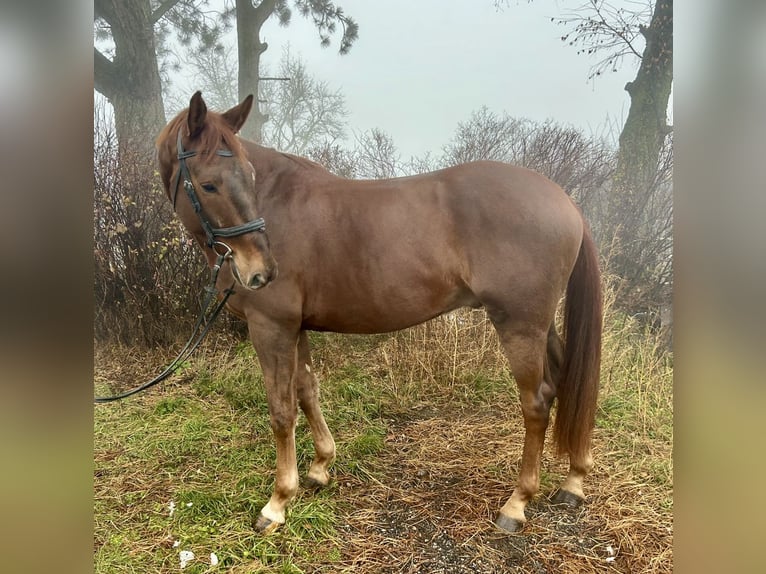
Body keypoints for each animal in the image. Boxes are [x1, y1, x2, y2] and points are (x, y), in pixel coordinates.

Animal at [153, 92, 604, 536]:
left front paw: (278, 502)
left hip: (520, 325)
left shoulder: (272, 327)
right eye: (210, 183)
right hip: (540, 326)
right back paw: (573, 481)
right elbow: (307, 391)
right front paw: (319, 468)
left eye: (246, 175)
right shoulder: (296, 328)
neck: (279, 205)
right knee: (564, 380)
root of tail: (565, 201)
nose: (262, 271)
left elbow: (281, 411)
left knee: (537, 402)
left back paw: (517, 503)